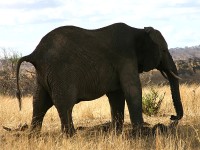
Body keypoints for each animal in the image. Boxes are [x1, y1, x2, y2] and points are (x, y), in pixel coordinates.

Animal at [16, 22, 184, 136]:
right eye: (164, 50)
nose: (172, 117)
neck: (138, 30)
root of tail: (34, 54)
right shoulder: (126, 58)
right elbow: (133, 90)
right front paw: (140, 134)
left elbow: (117, 95)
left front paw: (116, 133)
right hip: (60, 73)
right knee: (64, 104)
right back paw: (71, 136)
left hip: (45, 74)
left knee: (39, 103)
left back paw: (34, 137)